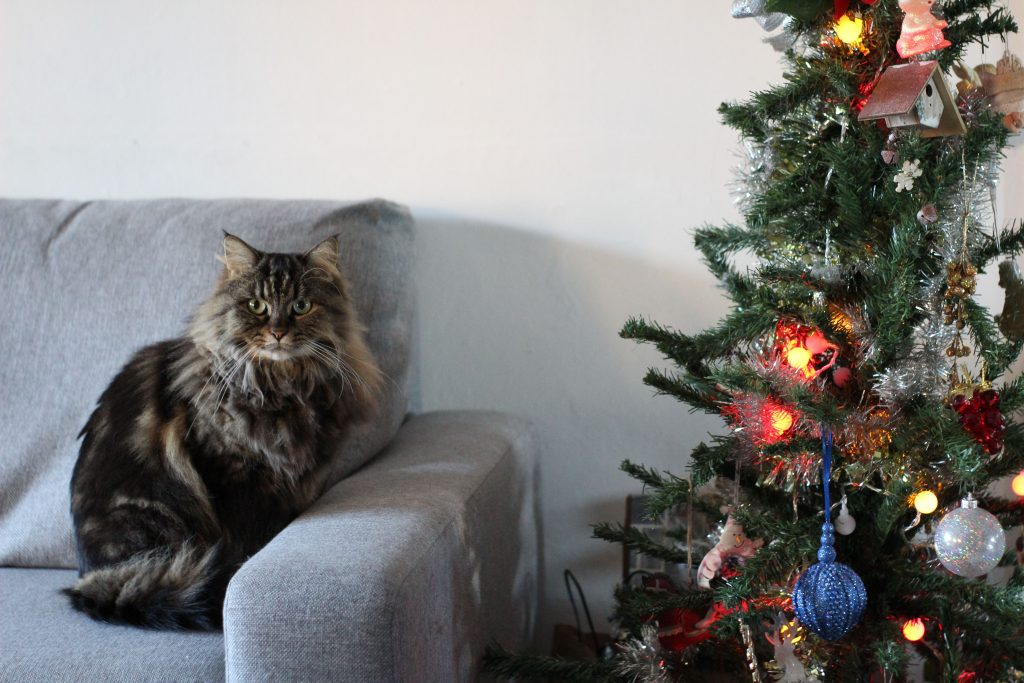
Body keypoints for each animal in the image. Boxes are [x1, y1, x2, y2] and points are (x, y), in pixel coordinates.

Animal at [65, 233, 385, 630]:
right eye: (257, 306)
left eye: (301, 306)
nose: (278, 333)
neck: (281, 387)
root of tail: (91, 578)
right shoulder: (230, 477)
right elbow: (247, 537)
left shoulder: (295, 486)